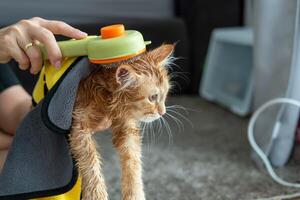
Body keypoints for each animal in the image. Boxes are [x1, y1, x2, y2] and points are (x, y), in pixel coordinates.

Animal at [69, 44, 175, 200]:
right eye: (153, 97)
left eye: (164, 94)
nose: (163, 112)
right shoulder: (79, 125)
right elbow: (90, 160)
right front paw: (97, 194)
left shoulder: (127, 127)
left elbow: (132, 162)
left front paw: (134, 194)